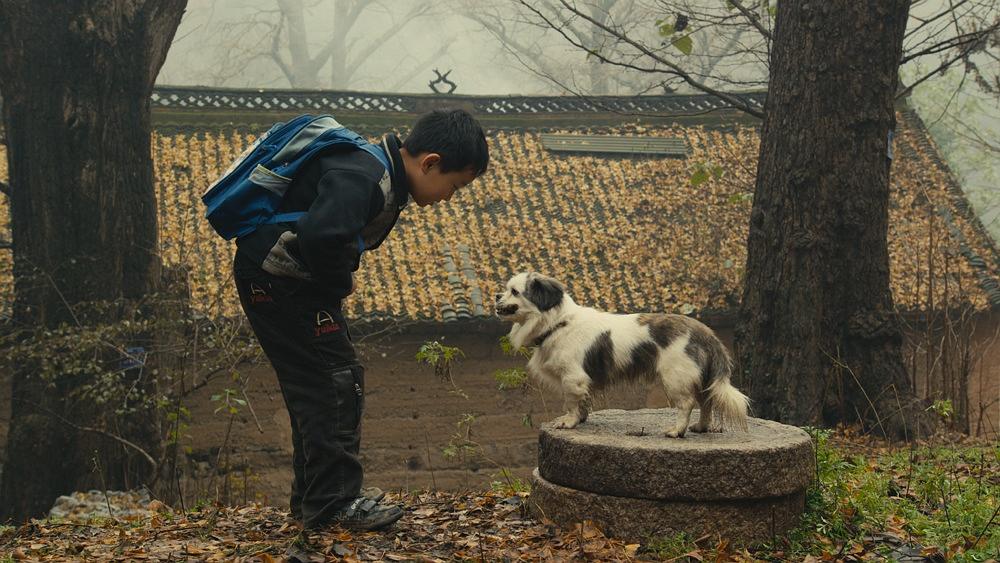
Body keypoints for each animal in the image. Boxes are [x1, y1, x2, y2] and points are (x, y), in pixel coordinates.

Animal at [496, 272, 748, 436]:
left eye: (514, 291)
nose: (497, 295)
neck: (558, 323)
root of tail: (705, 332)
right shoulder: (582, 382)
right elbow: (583, 402)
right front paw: (581, 419)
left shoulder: (572, 378)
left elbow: (571, 402)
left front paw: (569, 422)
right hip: (701, 380)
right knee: (707, 403)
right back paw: (701, 427)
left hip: (676, 378)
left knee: (687, 404)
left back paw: (677, 430)